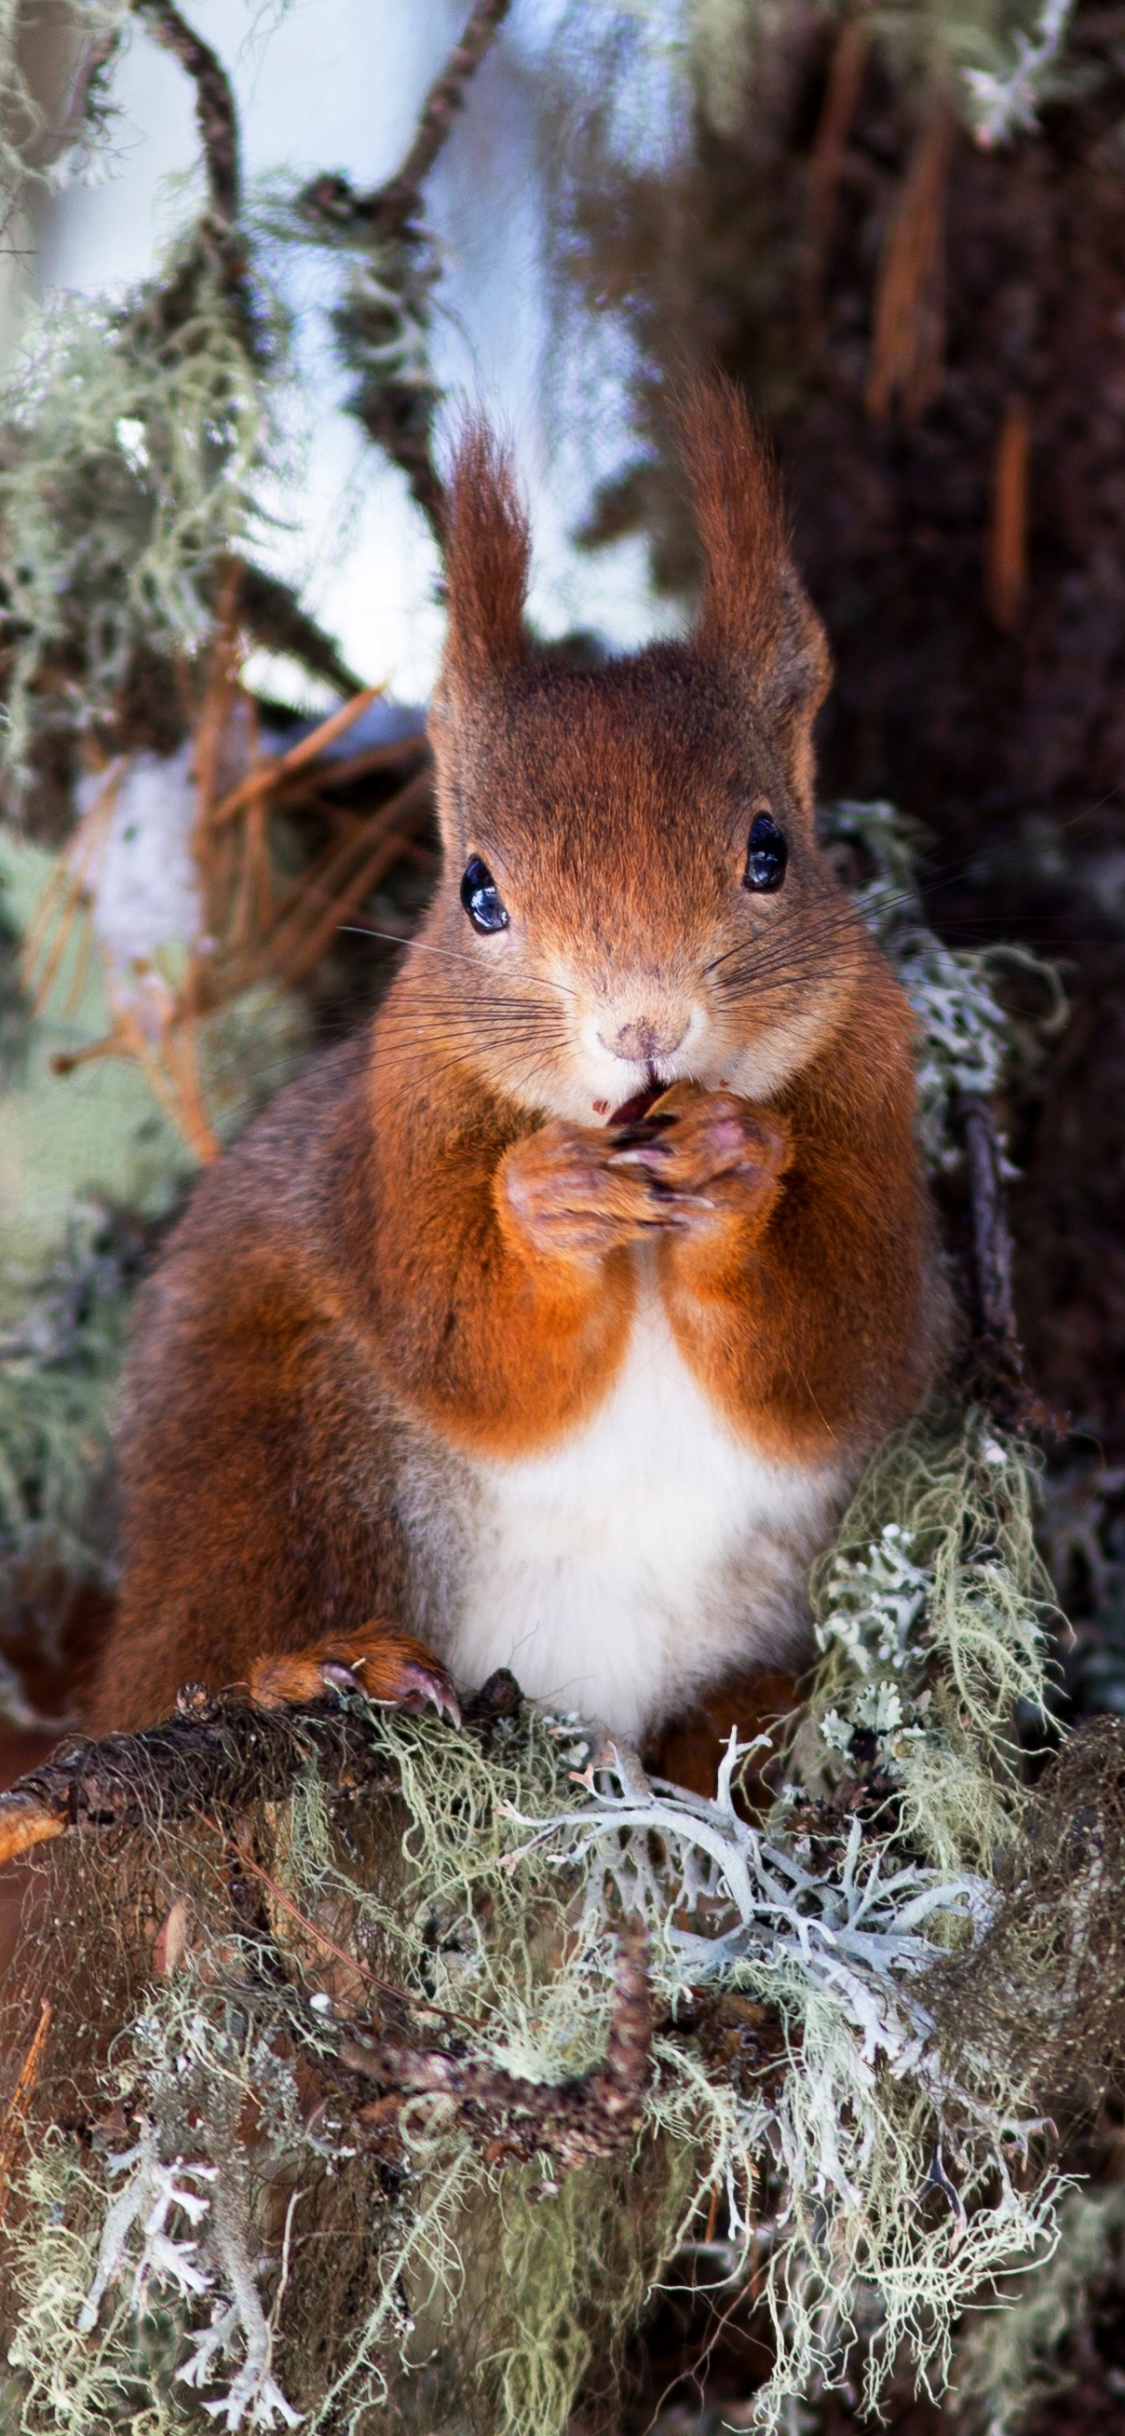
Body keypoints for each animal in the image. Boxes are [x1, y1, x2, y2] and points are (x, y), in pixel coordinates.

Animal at [81, 380, 939, 1753]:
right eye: (478, 892)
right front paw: (545, 1200)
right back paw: (318, 1665)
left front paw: (737, 1163)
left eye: (771, 852)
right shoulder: (396, 1140)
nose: (644, 1027)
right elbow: (469, 1349)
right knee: (211, 1632)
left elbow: (837, 1347)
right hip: (267, 1455)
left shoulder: (872, 1092)